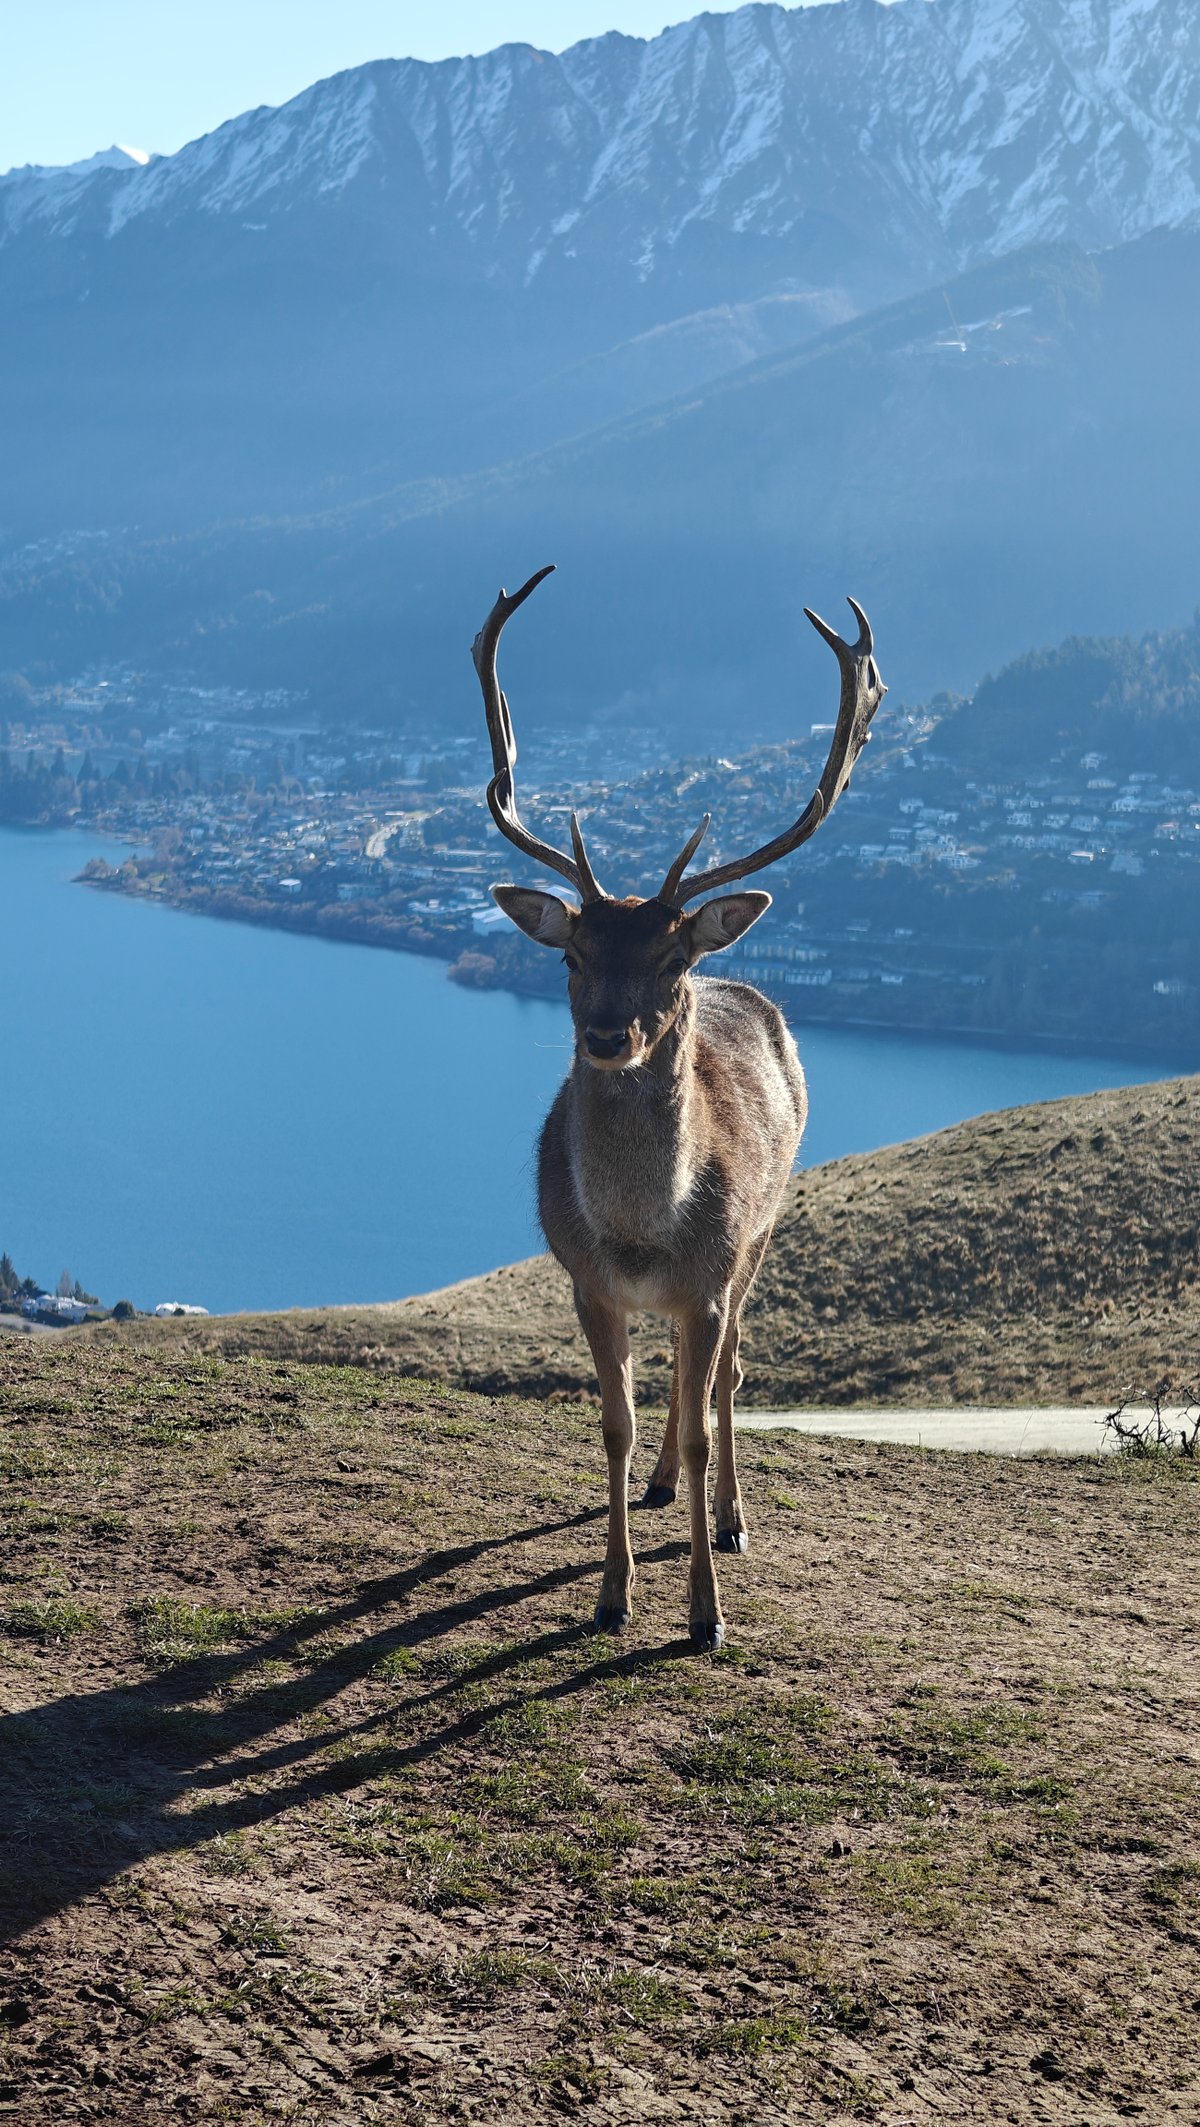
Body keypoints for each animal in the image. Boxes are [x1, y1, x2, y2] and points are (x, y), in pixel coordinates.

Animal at [472, 567, 885, 1649]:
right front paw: (612, 1593)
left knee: (729, 1376)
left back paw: (731, 1517)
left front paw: (704, 1615)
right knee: (679, 1390)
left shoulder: (710, 1272)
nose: (607, 1035)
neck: (641, 1232)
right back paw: (660, 1489)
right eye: (571, 954)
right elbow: (613, 1423)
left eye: (671, 958)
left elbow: (705, 1422)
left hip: (763, 1236)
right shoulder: (586, 1281)